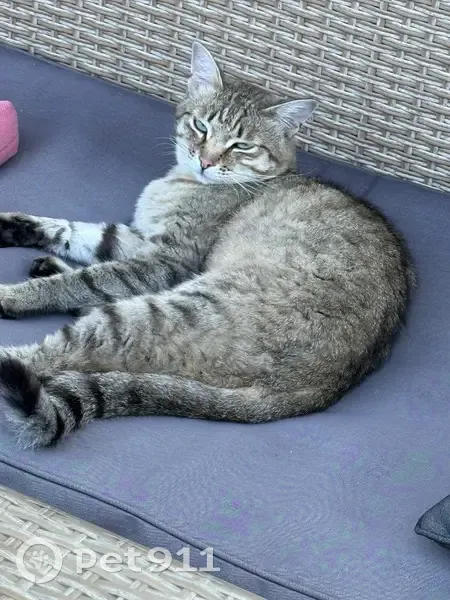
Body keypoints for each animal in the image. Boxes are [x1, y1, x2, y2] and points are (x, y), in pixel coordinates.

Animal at [0, 42, 414, 448]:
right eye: (201, 125)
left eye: (242, 145)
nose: (206, 160)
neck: (185, 183)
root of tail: (311, 392)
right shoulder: (140, 241)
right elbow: (81, 235)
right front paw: (16, 228)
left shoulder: (166, 261)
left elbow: (84, 279)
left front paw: (21, 293)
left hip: (159, 312)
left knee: (53, 353)